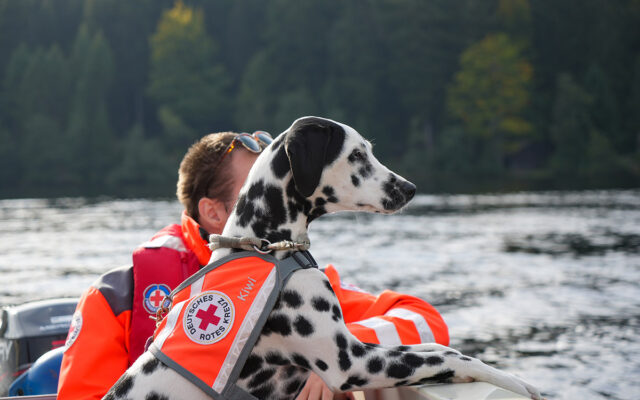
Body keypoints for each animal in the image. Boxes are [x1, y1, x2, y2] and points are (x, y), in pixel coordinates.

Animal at [104, 116, 540, 400]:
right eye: (357, 155)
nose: (410, 188)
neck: (268, 244)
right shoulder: (351, 362)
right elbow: (457, 359)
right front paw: (517, 382)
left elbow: (439, 349)